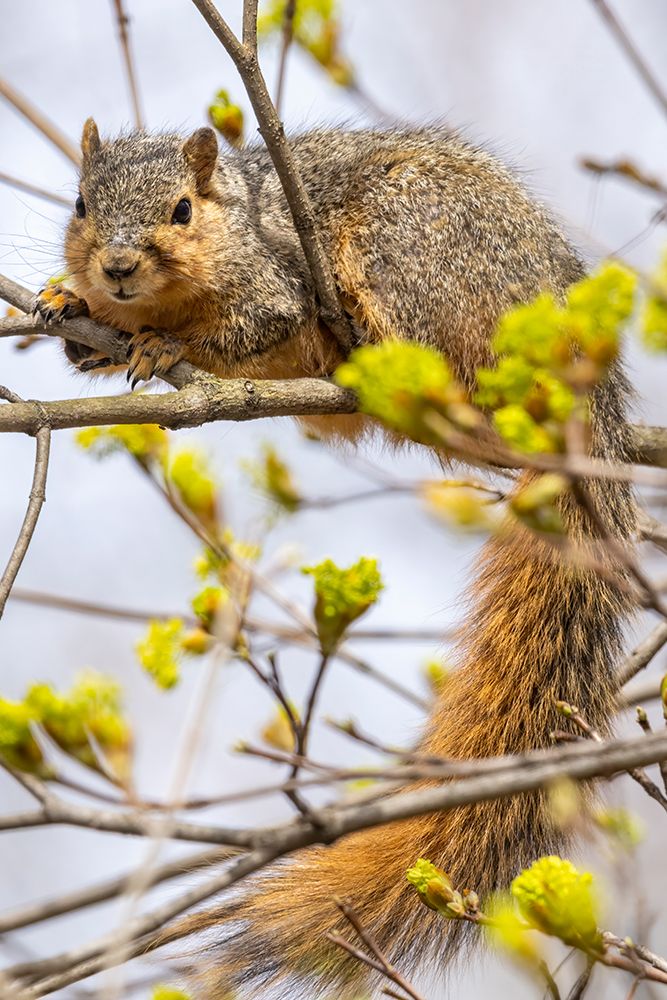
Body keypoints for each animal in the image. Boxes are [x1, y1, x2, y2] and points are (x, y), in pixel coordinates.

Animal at [36, 119, 636, 997]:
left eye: (182, 209)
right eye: (79, 202)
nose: (113, 266)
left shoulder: (277, 281)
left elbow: (251, 326)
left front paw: (158, 341)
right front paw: (67, 303)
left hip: (412, 252)